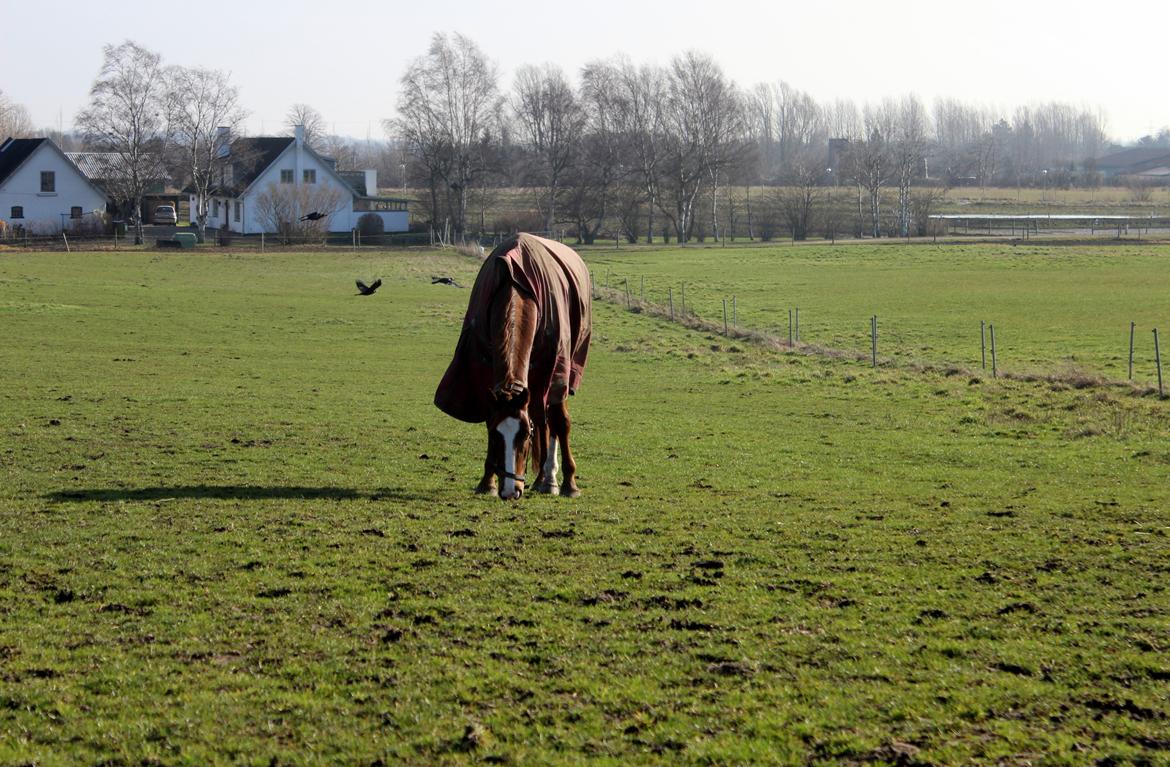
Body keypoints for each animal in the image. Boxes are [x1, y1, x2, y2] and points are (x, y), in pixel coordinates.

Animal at [435, 230, 589, 500]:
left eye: (524, 435)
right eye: (496, 435)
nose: (510, 491)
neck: (516, 285)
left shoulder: (555, 369)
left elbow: (560, 421)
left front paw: (569, 484)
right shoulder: (485, 371)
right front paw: (488, 481)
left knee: (550, 420)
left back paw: (549, 478)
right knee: (542, 418)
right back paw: (541, 478)